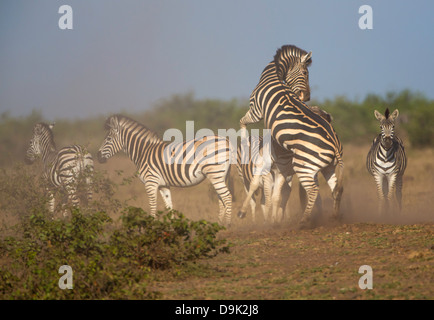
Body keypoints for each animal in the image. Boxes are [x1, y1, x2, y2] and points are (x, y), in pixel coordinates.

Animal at [239, 45, 344, 228]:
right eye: (305, 73)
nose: (307, 97)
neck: (273, 75)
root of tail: (335, 144)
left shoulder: (256, 110)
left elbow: (242, 121)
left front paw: (244, 138)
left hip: (303, 165)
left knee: (313, 190)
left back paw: (304, 220)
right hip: (328, 167)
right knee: (336, 188)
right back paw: (334, 217)